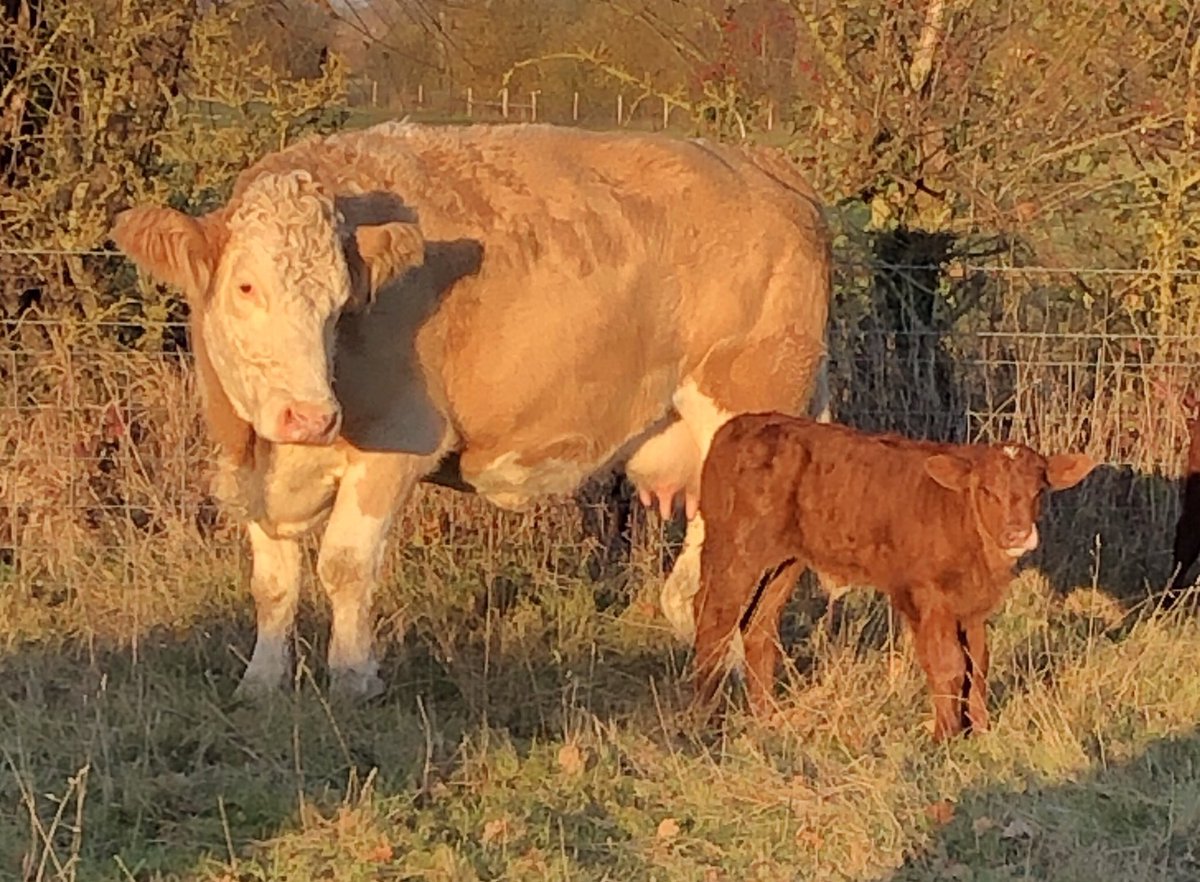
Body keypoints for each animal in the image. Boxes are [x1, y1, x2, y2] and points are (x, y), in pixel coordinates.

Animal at [110, 122, 832, 700]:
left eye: (342, 302)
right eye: (245, 286)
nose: (311, 417)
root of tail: (769, 167)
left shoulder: (395, 443)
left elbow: (344, 564)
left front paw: (353, 676)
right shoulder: (253, 466)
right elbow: (273, 582)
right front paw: (260, 682)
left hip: (749, 407)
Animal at [691, 413, 1096, 741]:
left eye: (1039, 490)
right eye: (986, 490)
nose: (1017, 534)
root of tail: (739, 425)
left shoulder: (974, 605)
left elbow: (977, 663)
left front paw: (980, 731)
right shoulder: (923, 595)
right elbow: (947, 663)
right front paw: (945, 736)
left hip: (784, 561)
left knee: (758, 626)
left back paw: (767, 718)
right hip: (735, 550)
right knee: (713, 619)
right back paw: (705, 720)